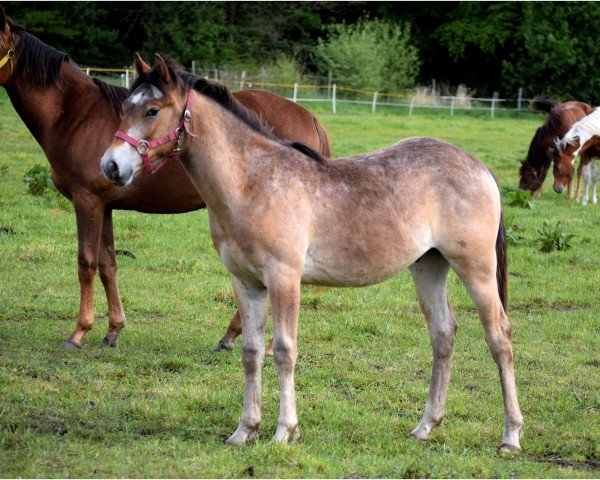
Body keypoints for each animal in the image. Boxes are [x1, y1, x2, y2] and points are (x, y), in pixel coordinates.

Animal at [0, 9, 330, 350]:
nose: (111, 164)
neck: (75, 115)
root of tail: (310, 117)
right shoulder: (105, 206)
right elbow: (108, 265)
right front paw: (113, 330)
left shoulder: (87, 201)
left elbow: (86, 263)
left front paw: (79, 332)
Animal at [101, 54, 524, 452]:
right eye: (125, 108)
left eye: (152, 110)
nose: (111, 166)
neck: (253, 182)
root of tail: (479, 167)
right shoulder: (246, 283)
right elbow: (252, 351)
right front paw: (244, 431)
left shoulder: (284, 278)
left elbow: (284, 351)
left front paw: (284, 432)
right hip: (429, 267)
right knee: (443, 334)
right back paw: (425, 426)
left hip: (476, 268)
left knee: (499, 337)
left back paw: (510, 436)